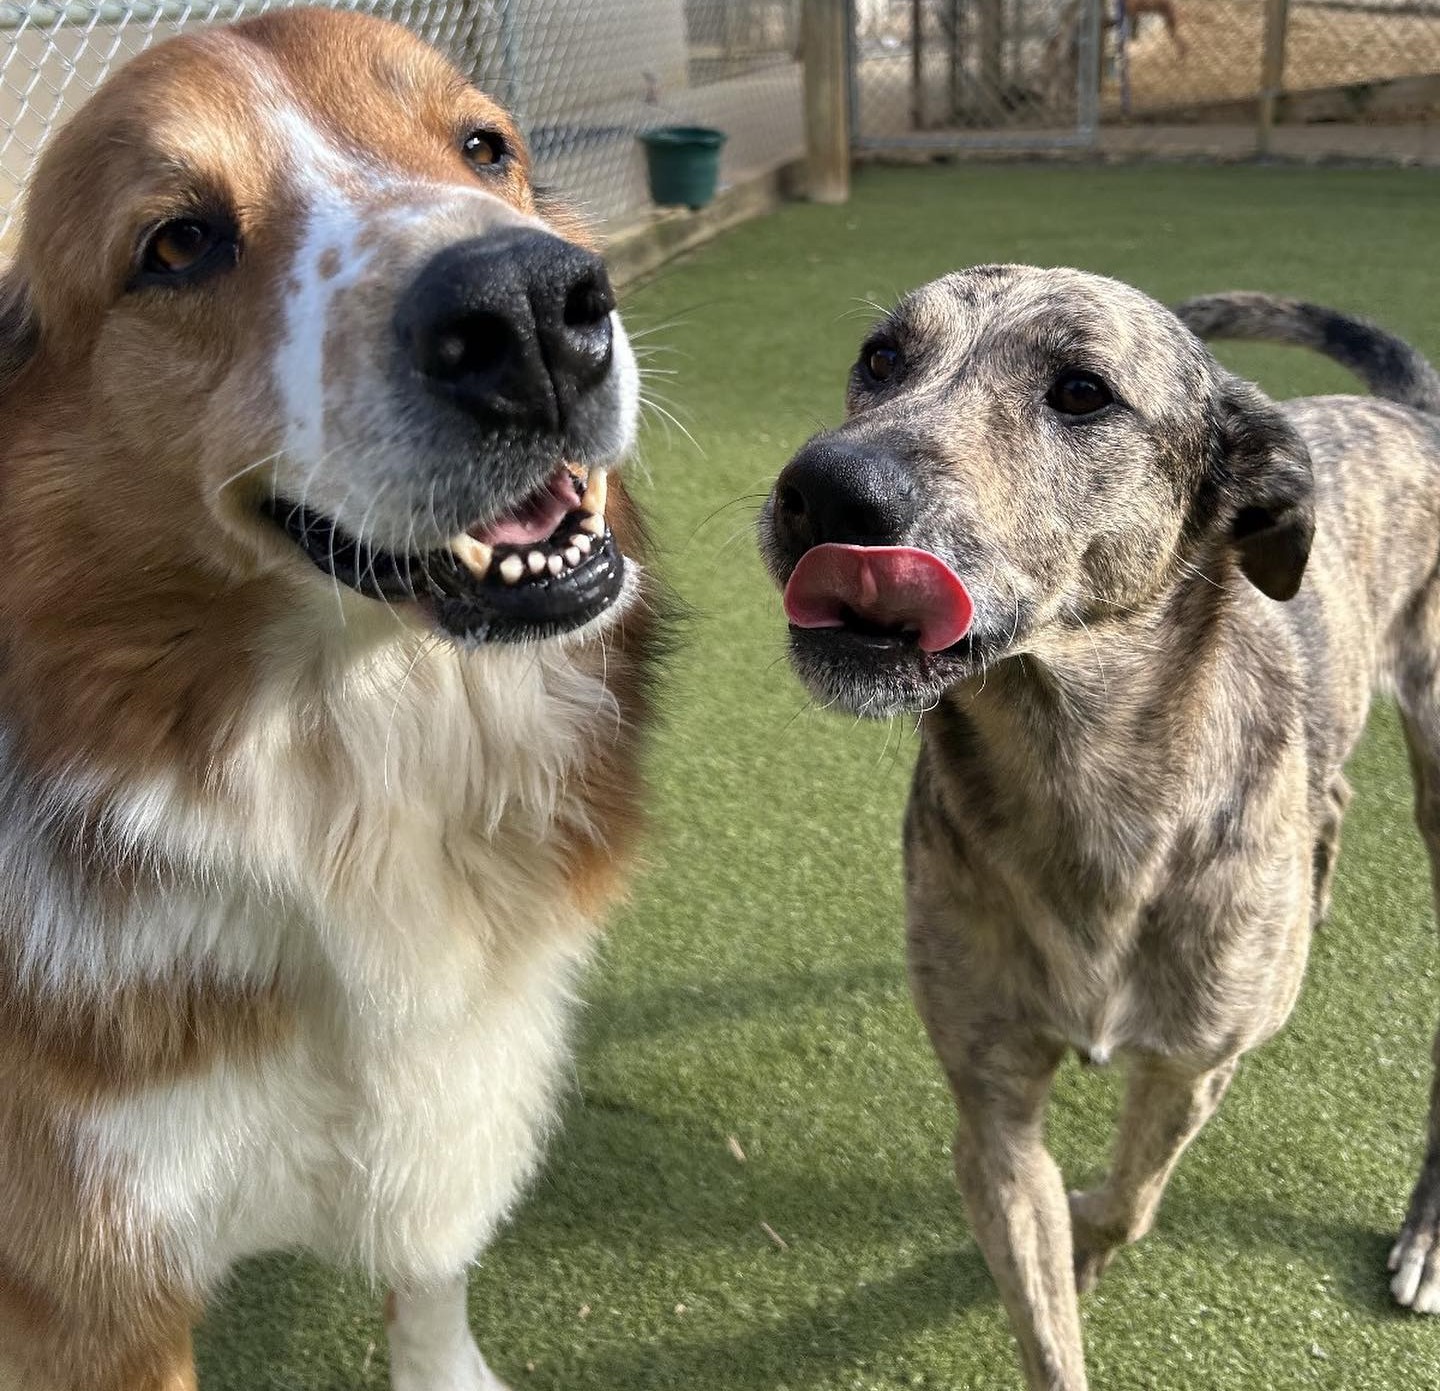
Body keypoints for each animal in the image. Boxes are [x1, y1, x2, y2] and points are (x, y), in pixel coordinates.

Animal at [0, 10, 659, 1391]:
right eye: (178, 242)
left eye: (485, 147)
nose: (530, 309)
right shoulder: (89, 1284)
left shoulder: (454, 1078)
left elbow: (430, 1285)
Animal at [754, 263, 1440, 1391]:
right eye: (881, 358)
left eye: (1082, 391)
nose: (823, 489)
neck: (1077, 781)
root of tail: (1410, 412)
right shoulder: (992, 1111)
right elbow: (1047, 1313)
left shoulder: (1190, 1067)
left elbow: (1132, 1196)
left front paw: (1086, 1241)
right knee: (1331, 790)